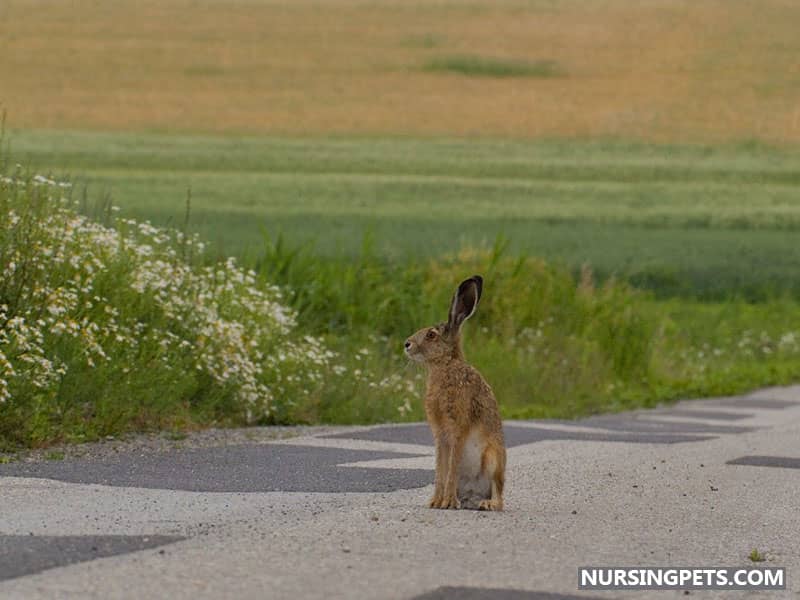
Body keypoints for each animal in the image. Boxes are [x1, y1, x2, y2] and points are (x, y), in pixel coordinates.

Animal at [404, 276, 510, 510]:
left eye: (431, 335)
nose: (406, 344)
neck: (446, 365)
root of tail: (475, 493)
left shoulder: (458, 427)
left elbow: (451, 466)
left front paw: (448, 502)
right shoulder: (440, 434)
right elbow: (440, 469)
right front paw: (436, 502)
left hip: (493, 459)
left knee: (499, 495)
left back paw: (486, 504)